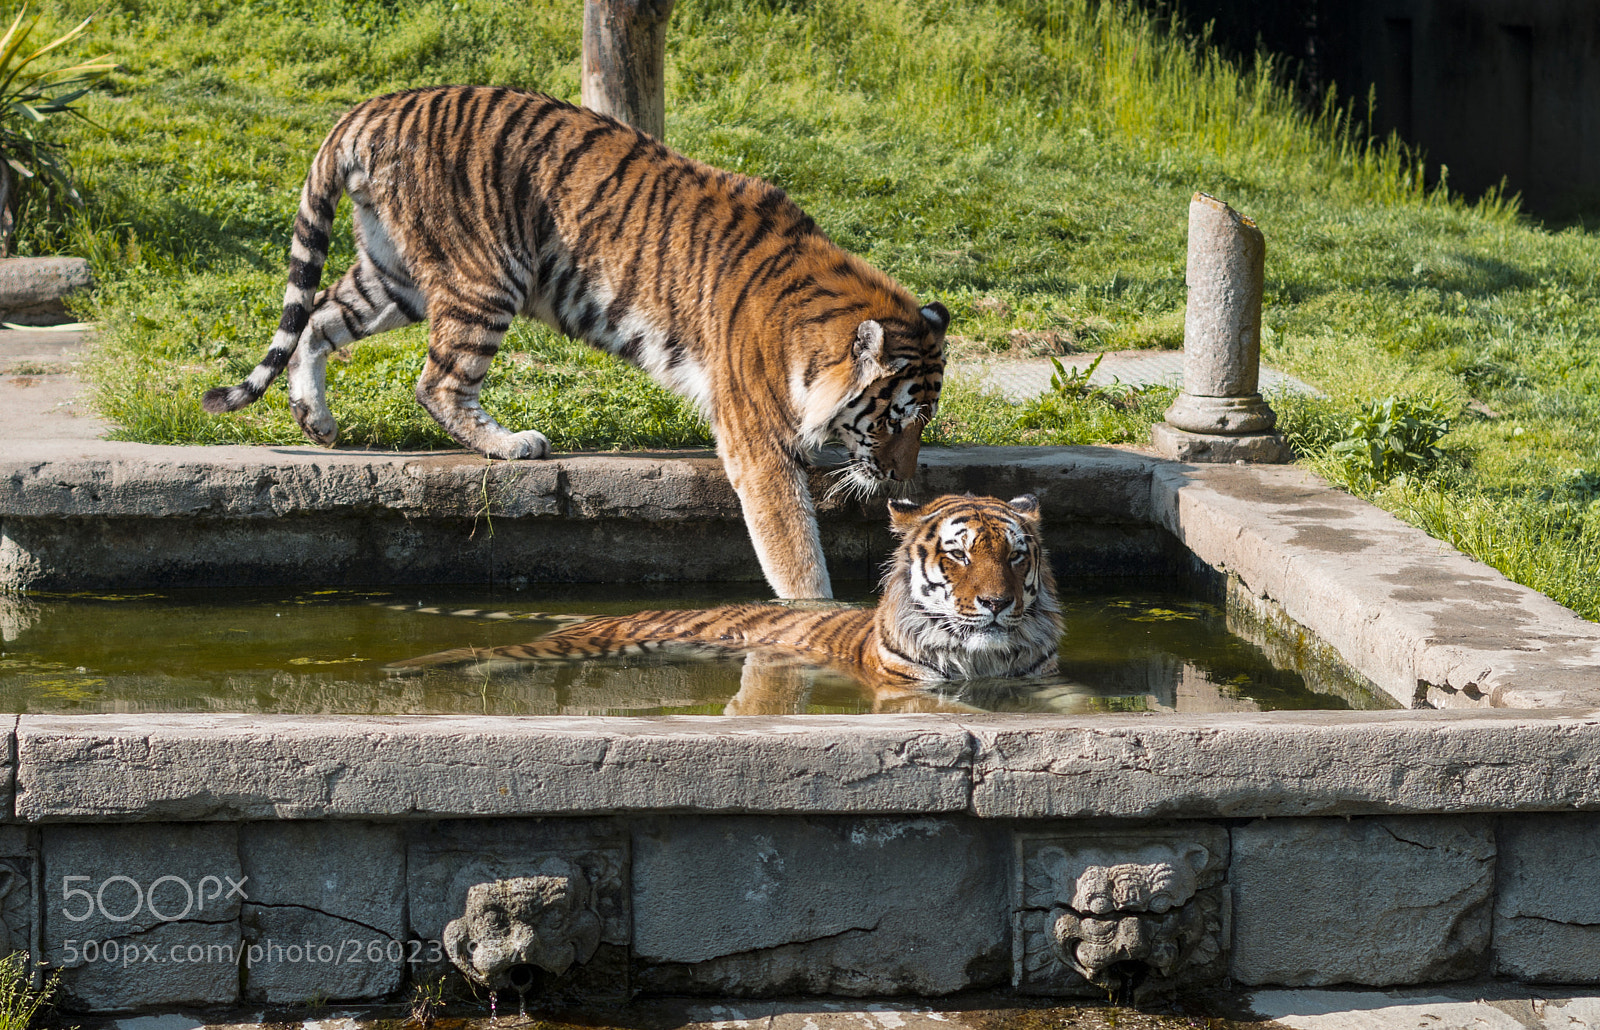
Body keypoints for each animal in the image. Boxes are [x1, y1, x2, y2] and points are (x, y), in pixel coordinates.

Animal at [202, 86, 948, 600]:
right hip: (485, 275)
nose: (904, 485)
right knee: (436, 382)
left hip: (397, 275)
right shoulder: (756, 442)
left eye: (922, 425)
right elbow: (792, 549)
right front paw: (818, 618)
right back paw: (511, 445)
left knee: (319, 317)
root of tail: (377, 106)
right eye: (893, 420)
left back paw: (317, 420)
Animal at [385, 493, 1061, 685]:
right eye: (958, 554)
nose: (995, 603)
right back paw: (402, 669)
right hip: (579, 645)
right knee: (482, 652)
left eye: (1014, 555)